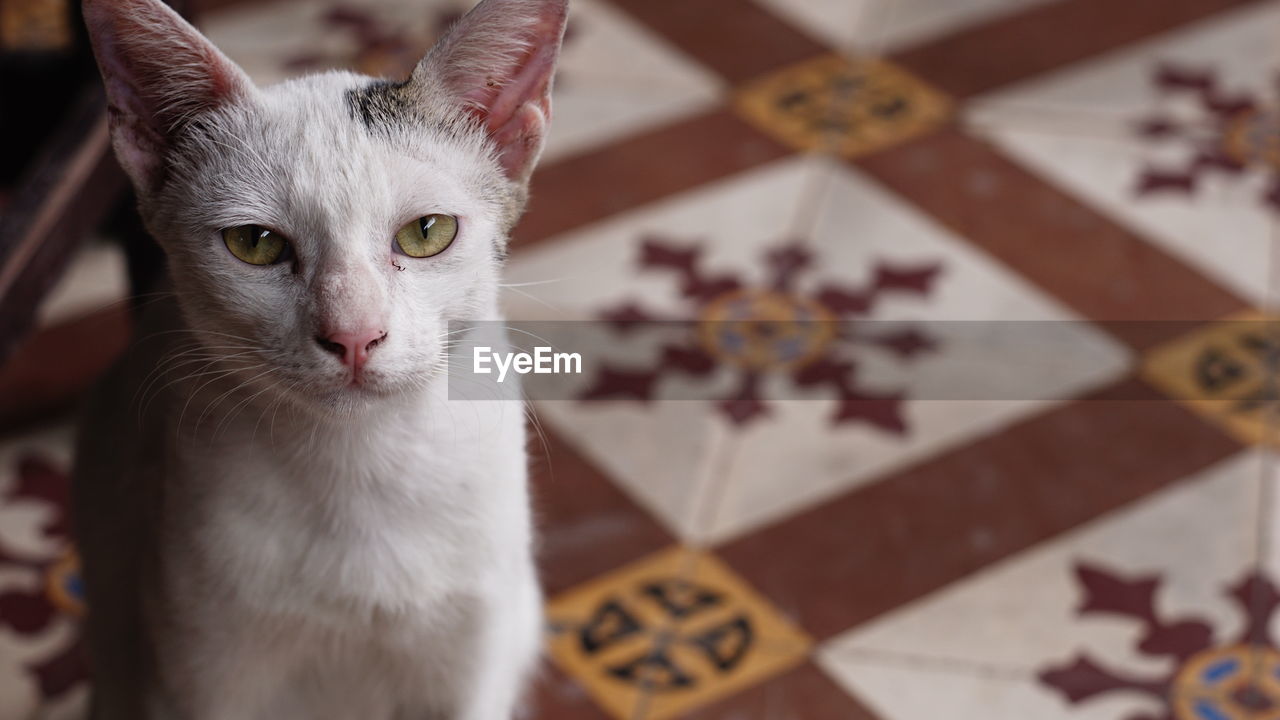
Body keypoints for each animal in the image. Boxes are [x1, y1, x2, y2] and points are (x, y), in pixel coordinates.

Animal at [73, 0, 565, 712]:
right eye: (254, 243)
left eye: (427, 233)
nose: (354, 334)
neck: (358, 464)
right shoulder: (194, 663)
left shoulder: (473, 655)